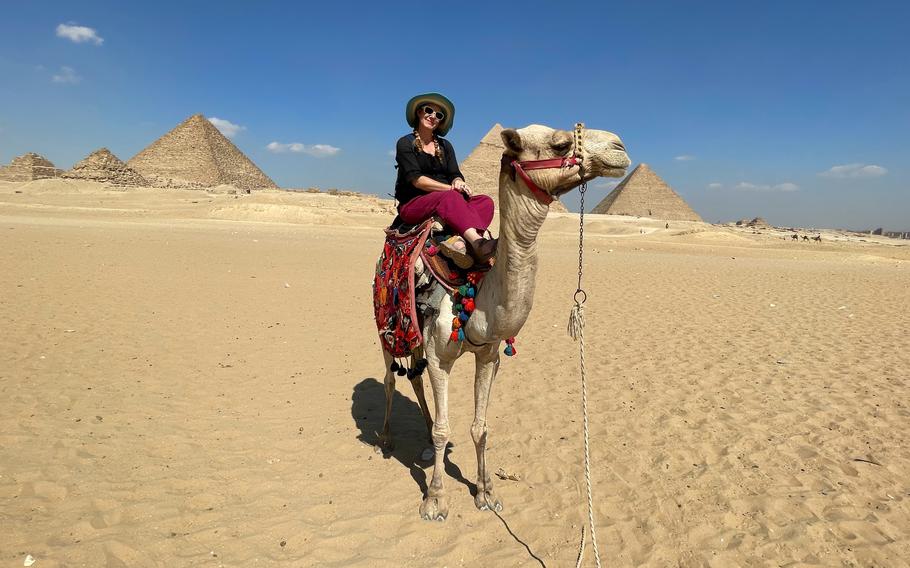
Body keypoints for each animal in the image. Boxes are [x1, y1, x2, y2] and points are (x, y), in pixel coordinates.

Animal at [378, 123, 628, 520]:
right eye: (560, 143)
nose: (619, 148)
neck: (480, 292)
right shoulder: (440, 356)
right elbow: (445, 429)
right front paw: (434, 500)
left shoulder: (488, 354)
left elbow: (480, 428)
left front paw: (486, 493)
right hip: (386, 325)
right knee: (390, 377)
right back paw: (387, 438)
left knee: (414, 378)